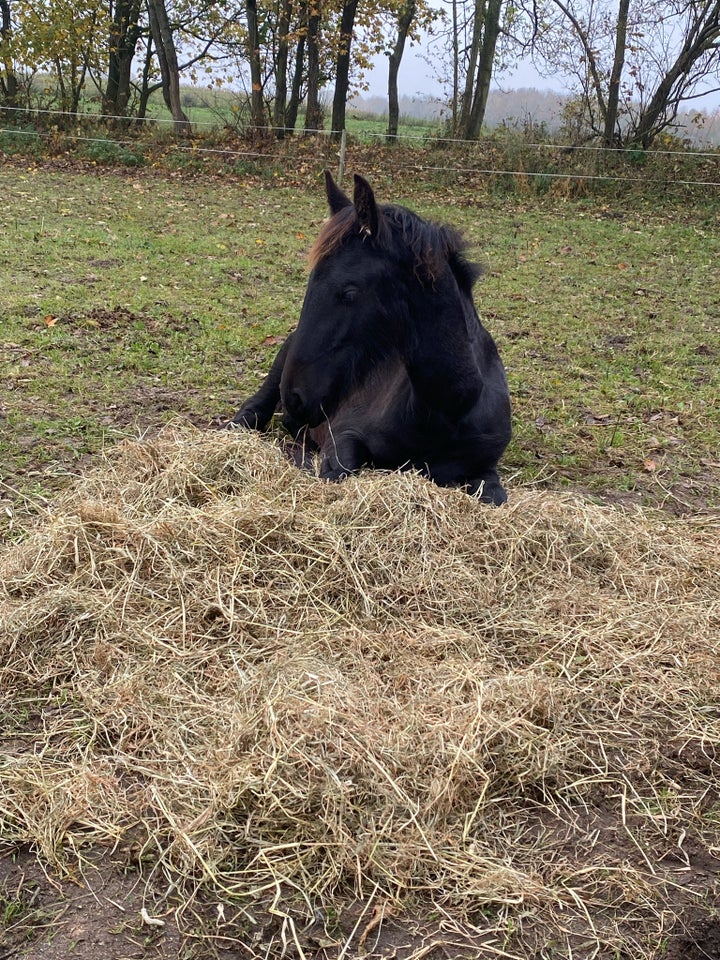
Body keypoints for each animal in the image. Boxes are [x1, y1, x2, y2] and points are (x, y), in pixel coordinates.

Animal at [231, 172, 512, 506]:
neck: (450, 409)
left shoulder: (485, 468)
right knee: (253, 411)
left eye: (349, 292)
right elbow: (334, 475)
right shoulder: (343, 438)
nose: (295, 398)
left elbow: (494, 496)